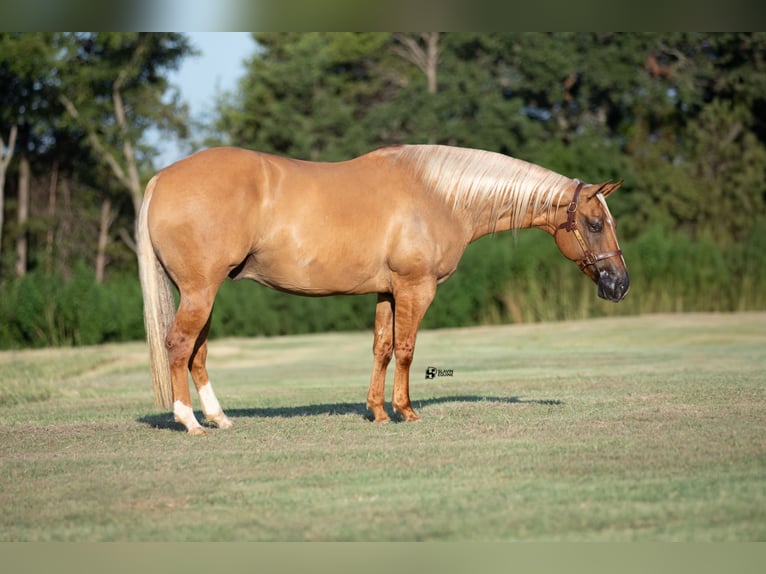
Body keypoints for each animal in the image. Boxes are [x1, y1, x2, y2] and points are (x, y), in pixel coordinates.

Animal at [138, 145, 632, 436]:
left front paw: (376, 412)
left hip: (202, 293)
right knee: (179, 345)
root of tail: (162, 178)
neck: (439, 195)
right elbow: (407, 349)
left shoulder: (387, 293)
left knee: (197, 352)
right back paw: (189, 421)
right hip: (200, 291)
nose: (620, 284)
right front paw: (406, 411)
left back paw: (219, 418)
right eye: (594, 223)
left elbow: (382, 348)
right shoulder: (416, 288)